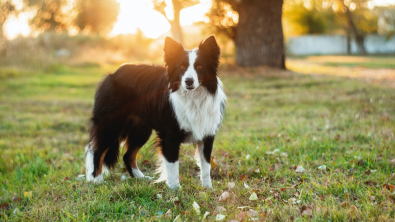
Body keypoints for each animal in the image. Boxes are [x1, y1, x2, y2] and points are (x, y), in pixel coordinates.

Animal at [84, 35, 226, 188]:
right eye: (182, 67)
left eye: (200, 67)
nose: (188, 81)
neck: (193, 96)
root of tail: (113, 74)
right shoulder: (170, 134)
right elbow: (172, 164)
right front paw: (174, 188)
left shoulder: (207, 133)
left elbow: (206, 165)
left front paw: (207, 188)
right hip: (112, 124)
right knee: (97, 151)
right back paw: (97, 180)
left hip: (141, 129)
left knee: (128, 155)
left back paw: (140, 178)